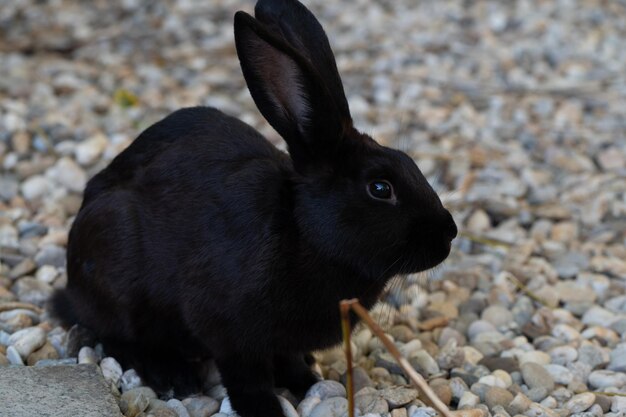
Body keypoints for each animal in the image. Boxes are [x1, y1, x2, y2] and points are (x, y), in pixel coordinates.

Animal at [51, 0, 456, 416]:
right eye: (380, 188)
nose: (449, 233)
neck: (304, 233)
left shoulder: (281, 341)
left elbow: (288, 361)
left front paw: (307, 382)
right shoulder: (227, 330)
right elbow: (246, 375)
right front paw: (265, 407)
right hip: (115, 265)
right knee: (116, 338)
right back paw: (173, 376)